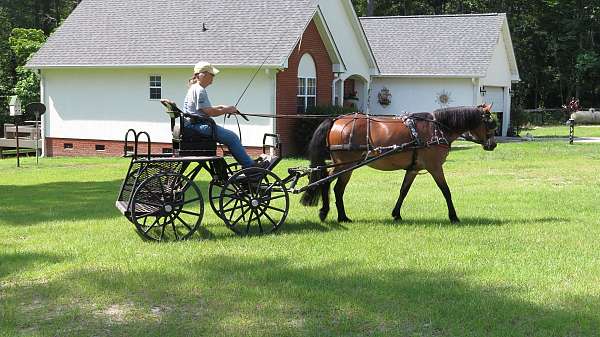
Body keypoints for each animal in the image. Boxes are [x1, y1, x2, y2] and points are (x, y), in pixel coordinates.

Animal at [300, 103, 496, 222]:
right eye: (490, 123)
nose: (493, 145)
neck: (437, 128)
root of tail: (336, 120)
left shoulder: (413, 169)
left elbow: (403, 191)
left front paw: (396, 214)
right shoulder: (434, 167)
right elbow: (446, 191)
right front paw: (453, 216)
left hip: (344, 165)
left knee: (334, 187)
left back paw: (339, 215)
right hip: (344, 165)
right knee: (328, 184)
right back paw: (330, 213)